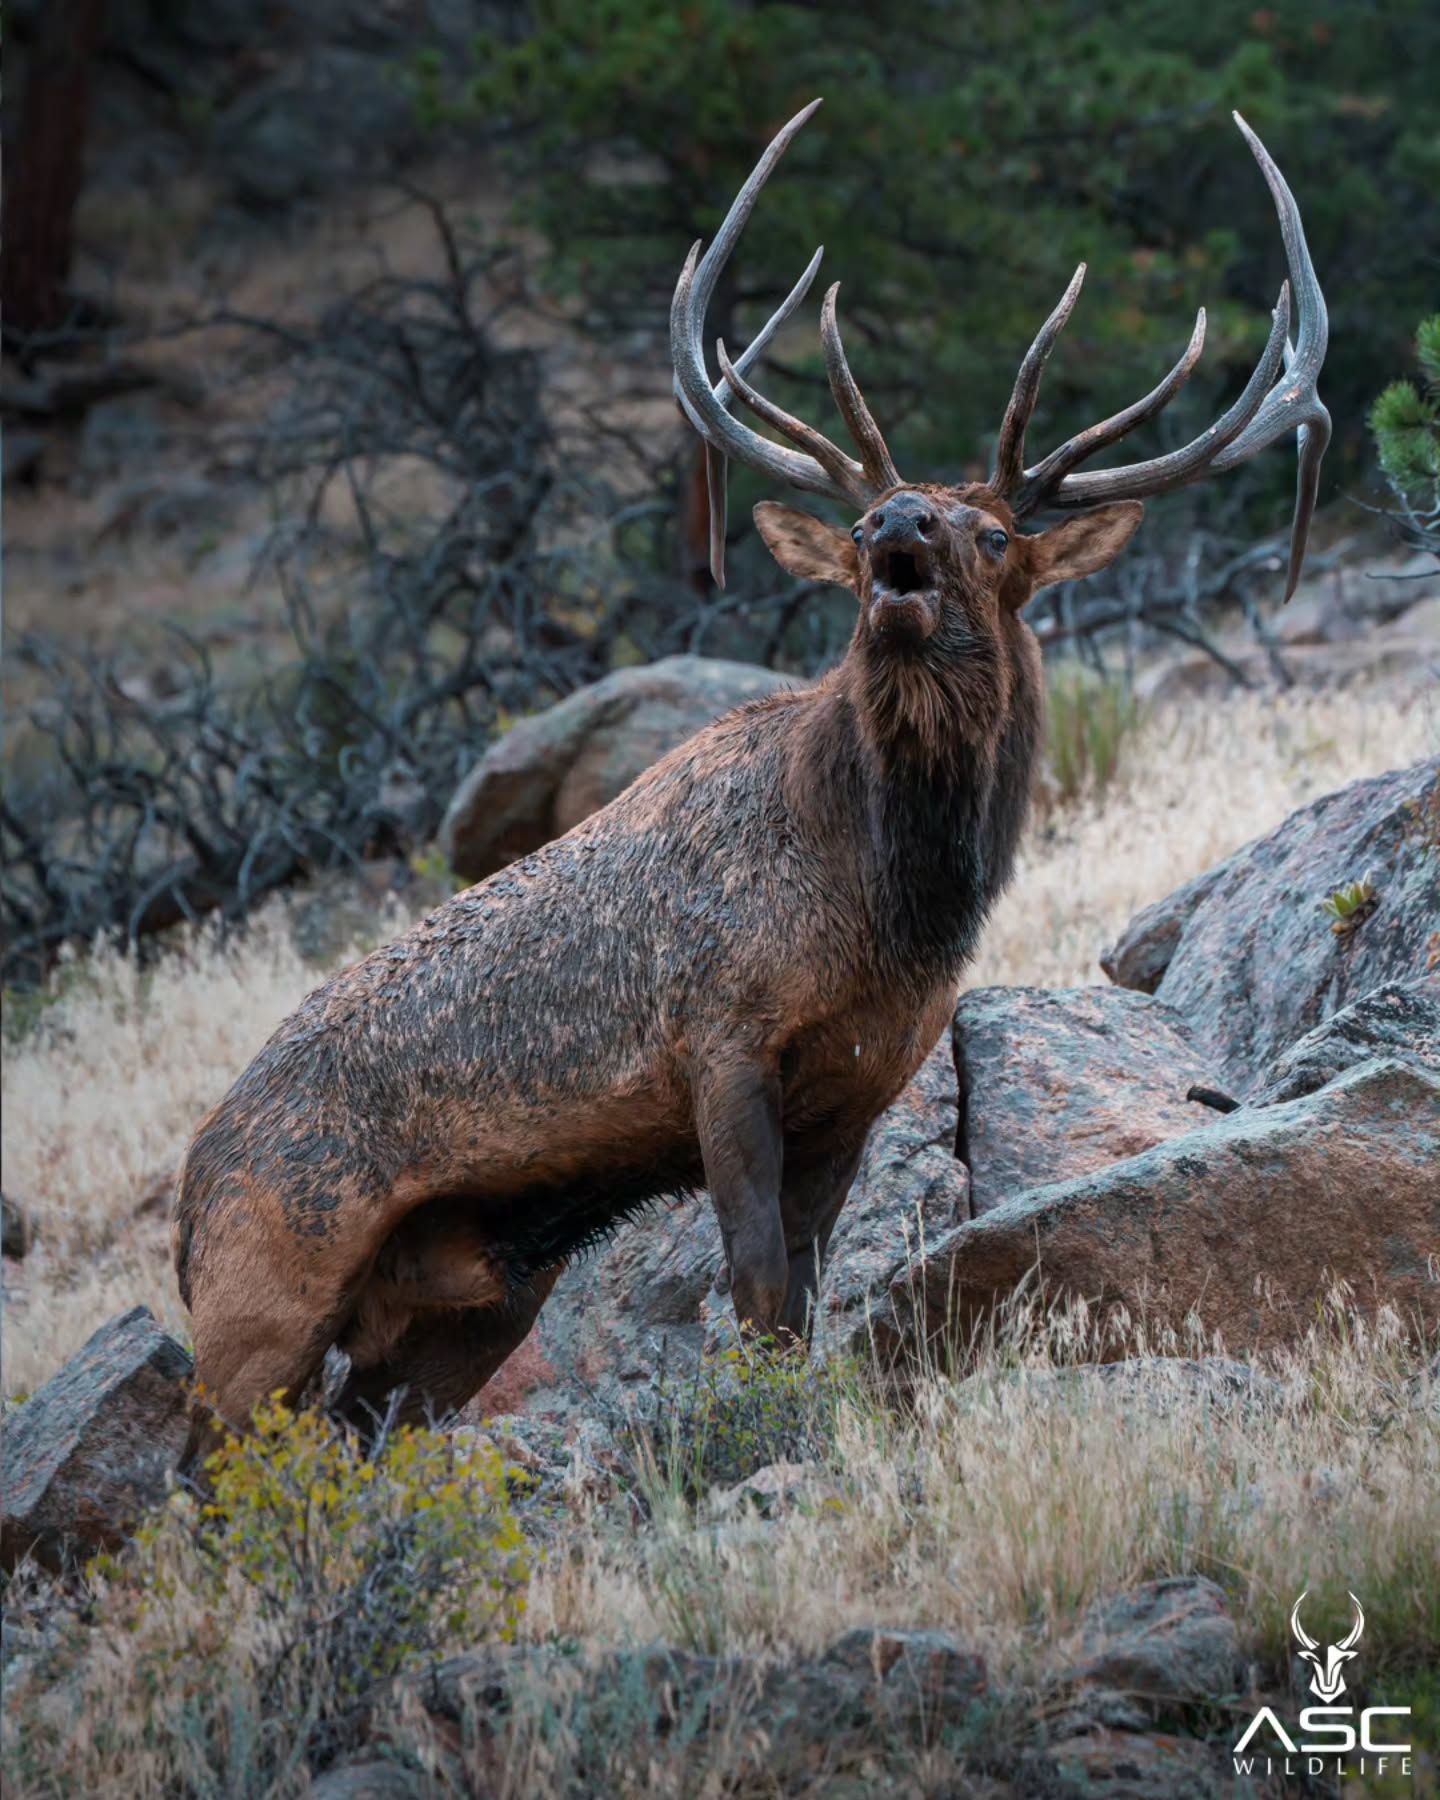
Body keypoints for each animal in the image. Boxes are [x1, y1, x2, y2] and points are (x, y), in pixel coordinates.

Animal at [174, 101, 1328, 1442]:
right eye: (877, 515)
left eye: (993, 532)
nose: (895, 525)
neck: (889, 905)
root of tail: (185, 1194)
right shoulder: (719, 1040)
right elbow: (759, 1284)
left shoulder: (864, 1083)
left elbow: (808, 1290)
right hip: (264, 1286)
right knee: (200, 1466)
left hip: (464, 1298)